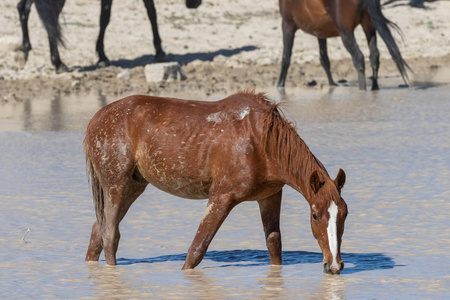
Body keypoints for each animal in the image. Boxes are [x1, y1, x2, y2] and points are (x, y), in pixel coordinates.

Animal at [16, 0, 201, 72]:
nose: (194, 4)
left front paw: (102, 55)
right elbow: (151, 13)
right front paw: (160, 51)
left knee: (24, 8)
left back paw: (25, 50)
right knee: (51, 19)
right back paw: (58, 62)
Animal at [85, 91, 352, 274]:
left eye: (344, 214)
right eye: (315, 215)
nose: (334, 266)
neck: (260, 142)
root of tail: (96, 118)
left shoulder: (269, 197)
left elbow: (274, 245)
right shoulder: (221, 198)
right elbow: (196, 250)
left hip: (133, 187)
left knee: (98, 231)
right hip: (116, 187)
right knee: (110, 234)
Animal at [278, 0, 412, 89]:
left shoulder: (287, 24)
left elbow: (286, 57)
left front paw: (280, 85)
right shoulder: (320, 30)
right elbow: (324, 59)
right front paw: (332, 84)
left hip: (346, 32)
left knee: (358, 57)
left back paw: (362, 90)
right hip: (369, 26)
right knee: (374, 56)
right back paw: (374, 89)